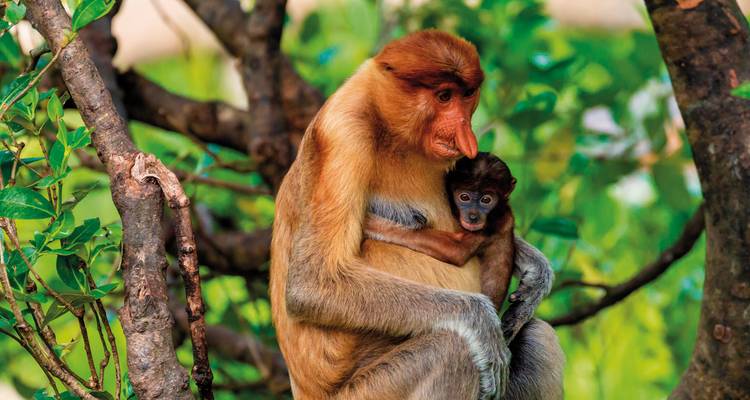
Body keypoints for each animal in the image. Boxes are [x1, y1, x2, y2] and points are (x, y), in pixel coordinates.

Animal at [364, 153, 551, 342]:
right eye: (464, 197)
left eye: (486, 200)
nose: (473, 216)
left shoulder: (492, 224)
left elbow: (455, 251)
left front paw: (372, 223)